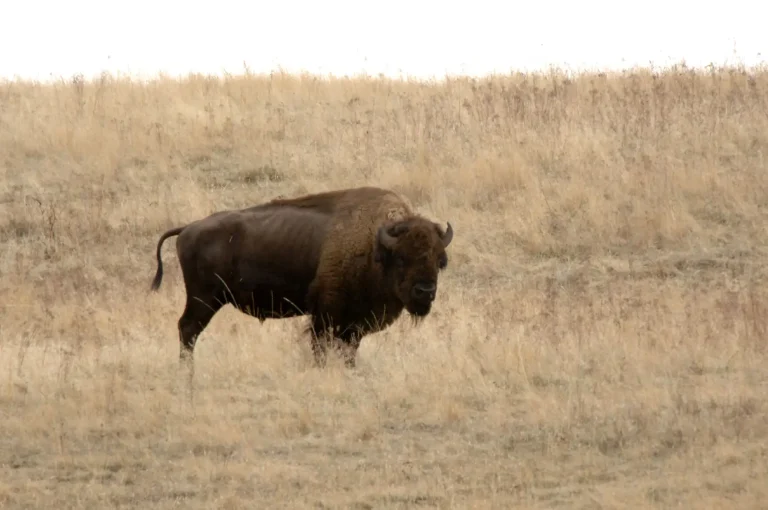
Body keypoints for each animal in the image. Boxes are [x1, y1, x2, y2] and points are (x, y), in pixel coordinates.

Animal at [149, 186, 453, 371]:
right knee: (188, 329)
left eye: (440, 261)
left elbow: (349, 350)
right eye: (401, 258)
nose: (425, 291)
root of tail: (188, 228)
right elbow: (321, 346)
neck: (373, 245)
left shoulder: (352, 324)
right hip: (204, 298)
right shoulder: (326, 315)